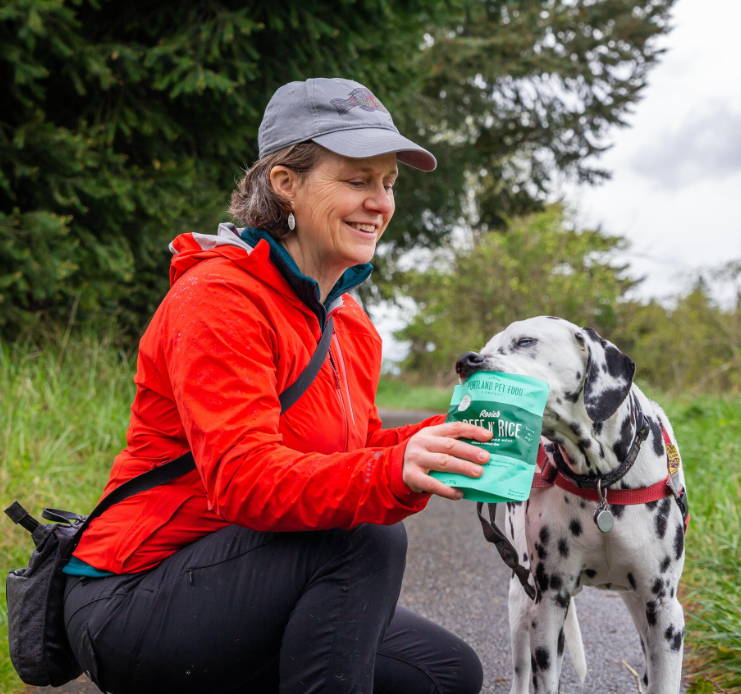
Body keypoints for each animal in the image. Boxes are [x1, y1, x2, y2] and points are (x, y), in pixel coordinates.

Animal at [456, 318, 688, 692]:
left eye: (525, 341)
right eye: (487, 346)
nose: (465, 361)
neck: (602, 480)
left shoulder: (665, 612)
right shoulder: (550, 604)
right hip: (520, 600)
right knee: (521, 672)